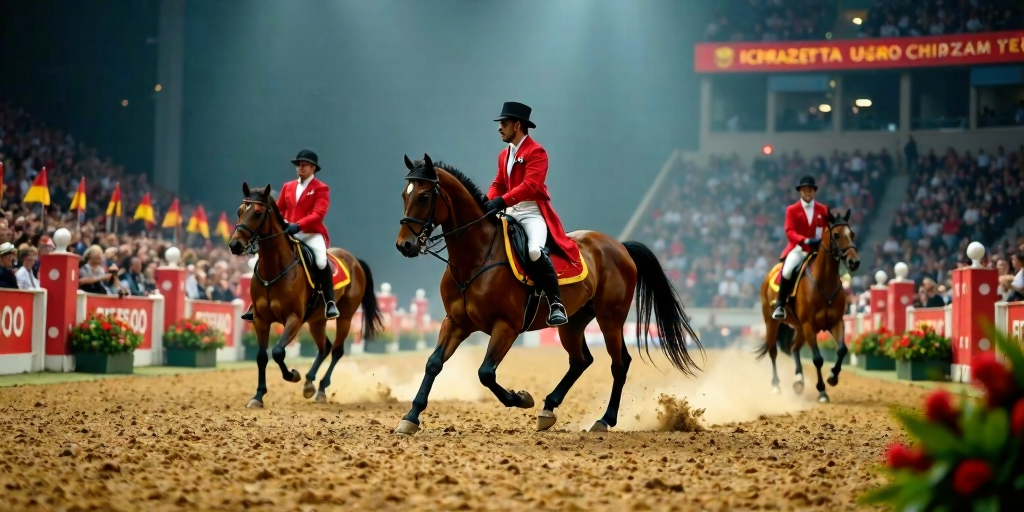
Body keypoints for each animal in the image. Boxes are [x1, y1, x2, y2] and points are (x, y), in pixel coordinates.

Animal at [228, 183, 385, 407]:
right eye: (239, 211)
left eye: (257, 213)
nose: (235, 245)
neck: (274, 270)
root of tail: (354, 260)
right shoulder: (260, 319)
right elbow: (261, 356)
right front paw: (258, 396)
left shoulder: (294, 319)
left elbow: (278, 352)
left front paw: (292, 375)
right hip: (316, 321)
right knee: (325, 347)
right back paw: (310, 383)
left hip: (345, 317)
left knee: (337, 350)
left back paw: (320, 388)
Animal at [391, 155, 704, 436]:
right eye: (404, 194)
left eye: (425, 195)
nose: (404, 245)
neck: (476, 258)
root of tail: (619, 246)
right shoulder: (455, 322)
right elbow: (433, 364)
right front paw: (410, 418)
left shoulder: (506, 327)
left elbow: (486, 373)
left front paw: (521, 398)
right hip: (572, 322)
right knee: (580, 361)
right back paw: (549, 408)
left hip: (611, 319)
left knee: (619, 364)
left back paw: (604, 420)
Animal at [757, 208, 860, 403]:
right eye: (836, 235)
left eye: (852, 234)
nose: (854, 262)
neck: (825, 282)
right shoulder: (809, 325)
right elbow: (818, 359)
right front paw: (822, 391)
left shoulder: (836, 322)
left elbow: (842, 349)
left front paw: (833, 377)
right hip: (772, 322)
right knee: (773, 351)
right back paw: (776, 386)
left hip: (799, 328)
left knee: (794, 348)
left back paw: (798, 381)